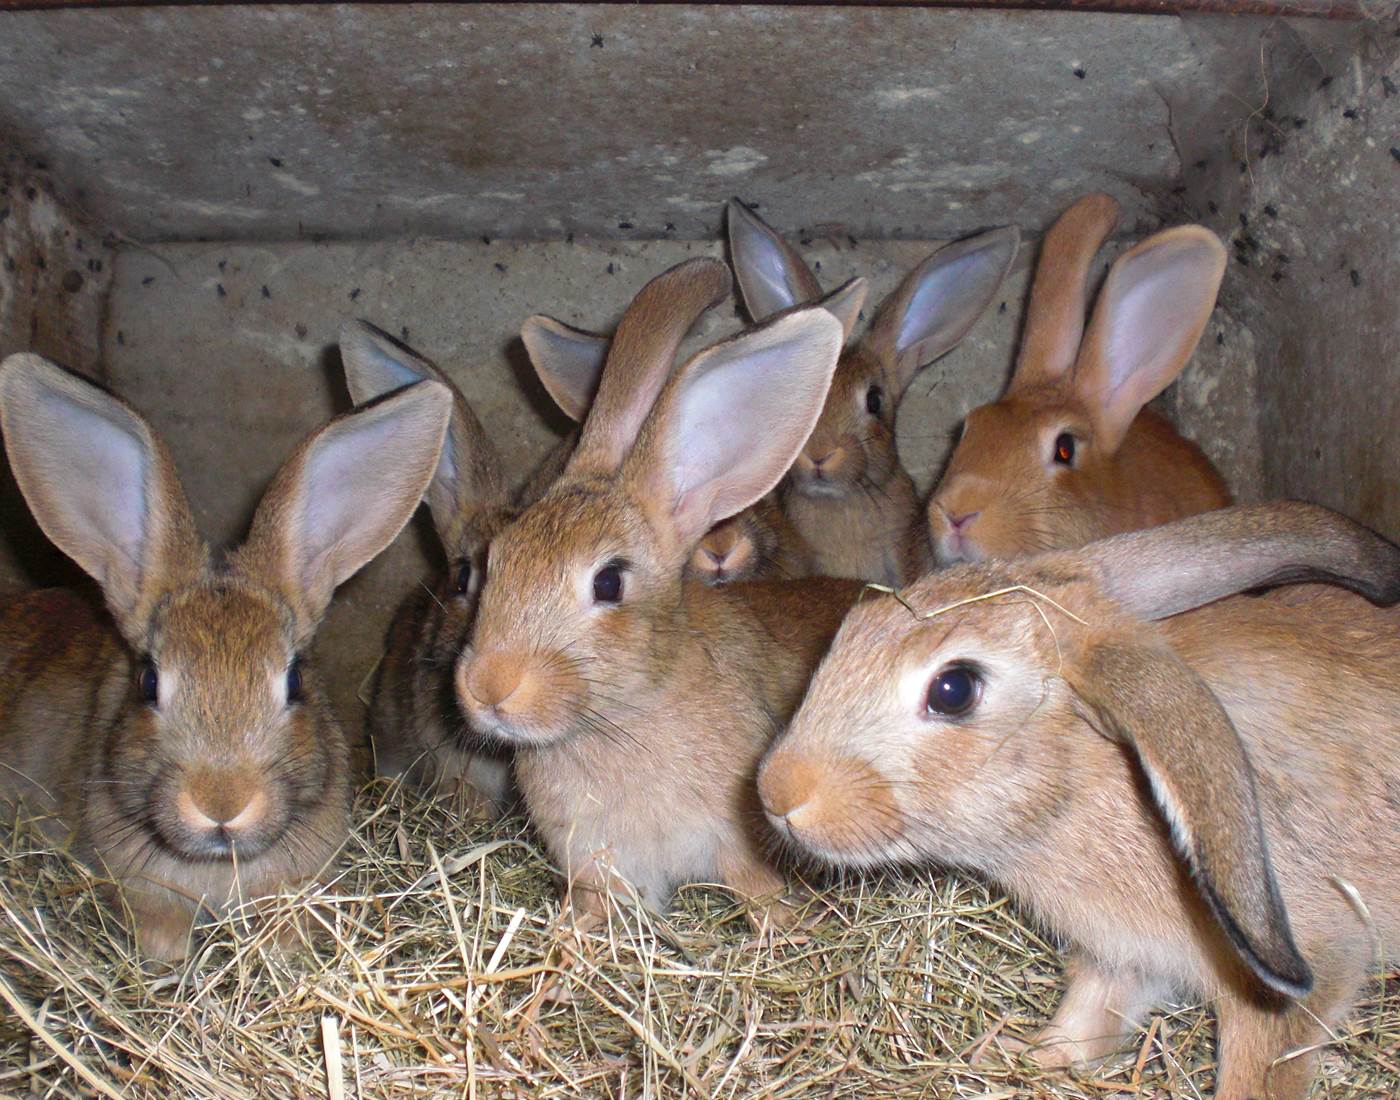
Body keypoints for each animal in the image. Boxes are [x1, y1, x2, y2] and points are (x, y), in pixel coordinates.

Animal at [453, 256, 867, 920]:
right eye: (496, 561)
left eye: (609, 581)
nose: (489, 686)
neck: (620, 717)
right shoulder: (600, 868)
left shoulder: (736, 842)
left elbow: (759, 893)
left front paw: (784, 927)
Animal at [757, 500, 1400, 1100]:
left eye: (953, 689)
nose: (777, 792)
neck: (1095, 777)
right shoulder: (1123, 958)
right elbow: (1088, 1017)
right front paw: (1021, 1056)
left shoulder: (1307, 970)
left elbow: (1260, 1068)